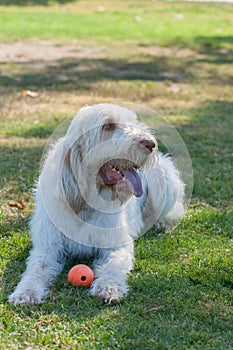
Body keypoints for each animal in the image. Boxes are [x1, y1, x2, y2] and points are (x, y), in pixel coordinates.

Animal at [8, 103, 184, 304]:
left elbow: (112, 267)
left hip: (163, 181)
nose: (150, 144)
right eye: (108, 126)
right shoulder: (47, 247)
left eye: (132, 122)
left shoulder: (116, 245)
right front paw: (26, 292)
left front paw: (108, 287)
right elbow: (36, 268)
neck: (87, 204)